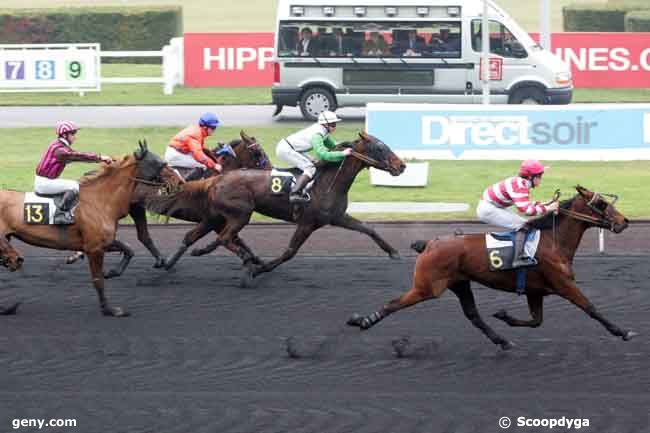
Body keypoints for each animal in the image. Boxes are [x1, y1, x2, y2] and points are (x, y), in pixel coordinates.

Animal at [0, 143, 177, 318]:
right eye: (160, 163)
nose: (177, 181)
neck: (100, 200)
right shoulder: (94, 248)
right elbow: (98, 280)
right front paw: (110, 309)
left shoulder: (102, 242)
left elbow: (129, 249)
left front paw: (113, 271)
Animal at [64, 128, 270, 272]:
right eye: (258, 153)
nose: (271, 170)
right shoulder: (211, 218)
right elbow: (226, 238)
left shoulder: (219, 218)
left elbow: (237, 238)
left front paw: (259, 261)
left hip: (135, 209)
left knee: (143, 236)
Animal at [154, 132, 402, 286]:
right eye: (379, 147)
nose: (401, 166)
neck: (328, 181)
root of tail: (217, 179)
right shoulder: (307, 223)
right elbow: (289, 252)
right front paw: (258, 269)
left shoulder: (337, 217)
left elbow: (368, 229)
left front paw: (394, 252)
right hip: (240, 214)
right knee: (225, 237)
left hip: (216, 216)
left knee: (196, 236)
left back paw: (178, 259)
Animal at [346, 186, 636, 348]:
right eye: (601, 204)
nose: (625, 221)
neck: (553, 241)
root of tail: (429, 243)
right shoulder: (562, 284)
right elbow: (590, 307)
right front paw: (623, 331)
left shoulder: (535, 291)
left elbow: (536, 321)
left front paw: (504, 315)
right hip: (427, 287)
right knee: (394, 303)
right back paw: (364, 321)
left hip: (460, 284)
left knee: (473, 315)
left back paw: (502, 340)